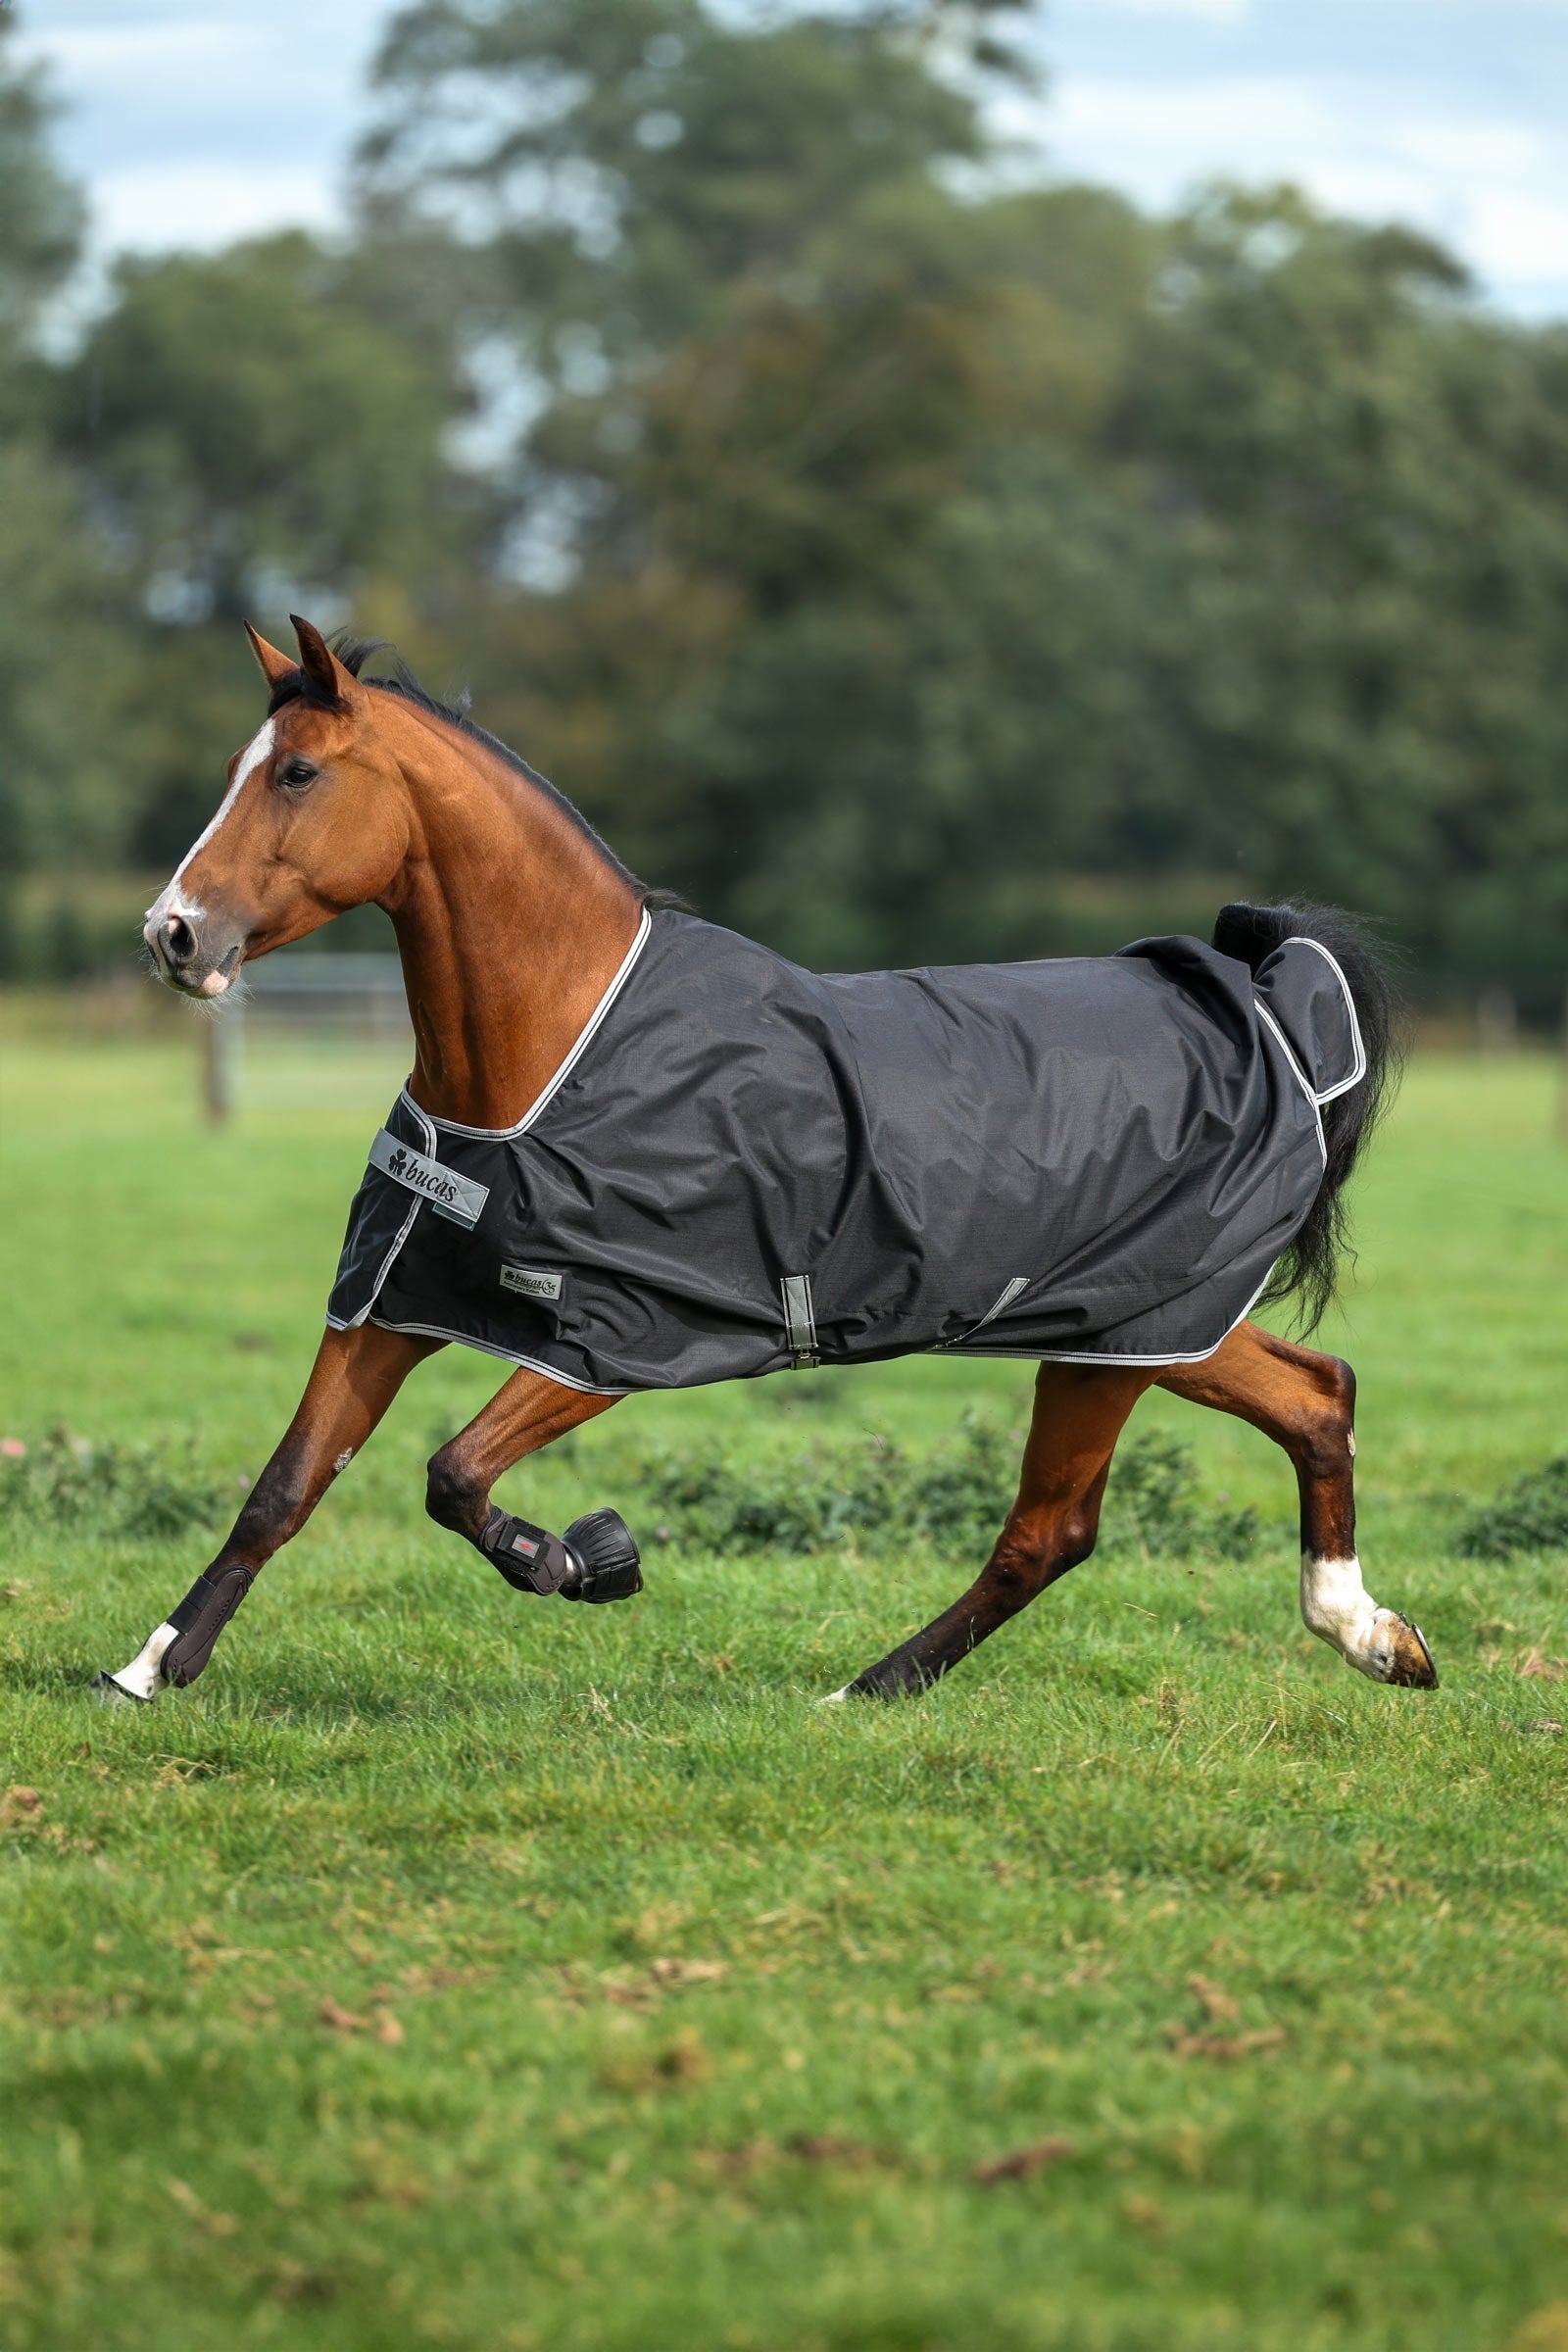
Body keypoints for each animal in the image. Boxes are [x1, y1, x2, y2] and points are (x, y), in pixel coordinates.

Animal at [99, 614, 1438, 1706]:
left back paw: (869, 1690)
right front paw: (153, 1667)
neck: (557, 1049)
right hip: (1150, 1327)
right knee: (1310, 1398)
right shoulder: (395, 1299)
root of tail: (1256, 1001)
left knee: (1052, 1525)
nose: (173, 934)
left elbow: (453, 1474)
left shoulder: (613, 1342)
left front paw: (588, 1558)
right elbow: (285, 1487)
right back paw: (1370, 1636)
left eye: (297, 772)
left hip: (1120, 1330)